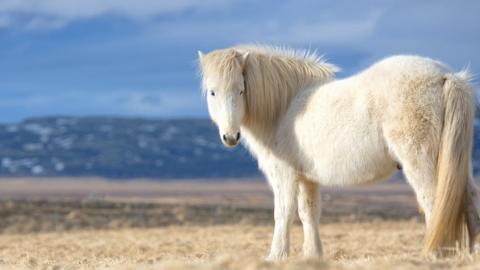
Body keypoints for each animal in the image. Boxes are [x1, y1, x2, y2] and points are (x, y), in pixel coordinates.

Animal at [197, 44, 480, 260]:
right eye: (213, 92)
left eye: (241, 90)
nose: (230, 137)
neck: (284, 108)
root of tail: (446, 77)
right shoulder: (307, 178)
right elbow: (308, 212)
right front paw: (312, 255)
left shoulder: (284, 173)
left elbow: (284, 211)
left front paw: (276, 256)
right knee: (469, 198)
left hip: (419, 160)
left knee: (433, 201)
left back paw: (434, 254)